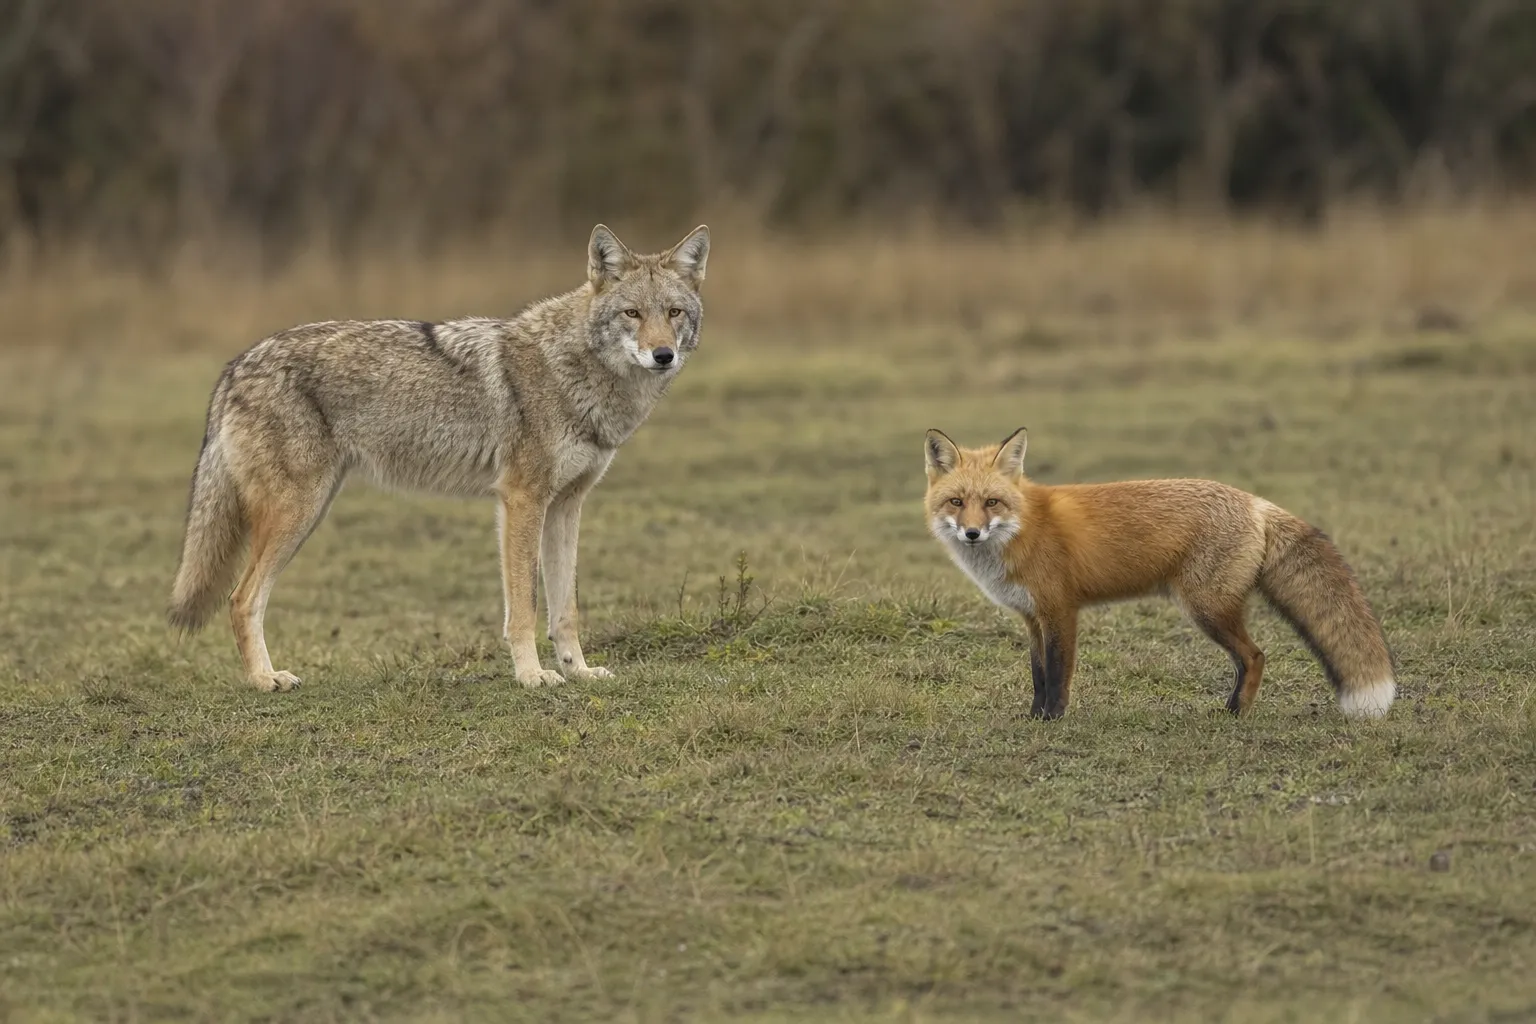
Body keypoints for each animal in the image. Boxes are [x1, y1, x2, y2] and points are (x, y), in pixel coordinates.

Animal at [168, 223, 710, 692]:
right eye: (633, 314)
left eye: (674, 313)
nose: (663, 355)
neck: (577, 370)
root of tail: (237, 364)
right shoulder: (522, 500)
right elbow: (524, 606)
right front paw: (532, 676)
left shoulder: (566, 506)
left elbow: (566, 609)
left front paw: (577, 671)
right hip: (297, 513)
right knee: (241, 600)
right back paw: (265, 680)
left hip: (310, 510)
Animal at [923, 428, 1396, 720]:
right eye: (956, 502)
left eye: (992, 503)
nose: (971, 533)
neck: (1022, 528)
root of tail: (1255, 501)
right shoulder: (1032, 617)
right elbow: (1038, 673)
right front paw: (1034, 716)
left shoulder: (1061, 611)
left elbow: (1058, 673)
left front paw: (1053, 718)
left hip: (1206, 609)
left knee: (1255, 656)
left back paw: (1233, 714)